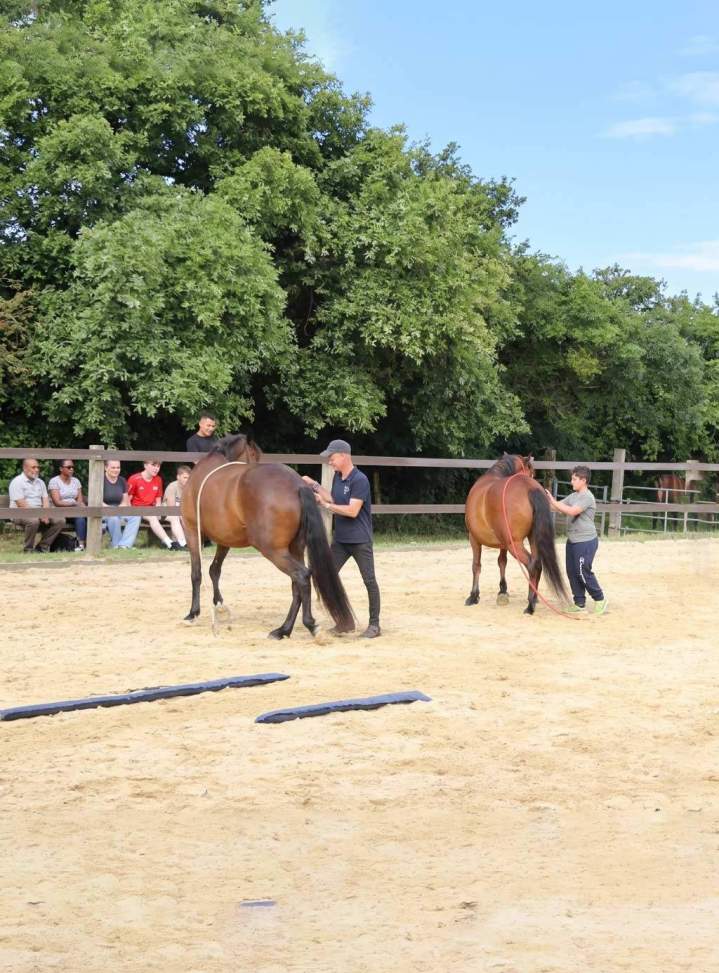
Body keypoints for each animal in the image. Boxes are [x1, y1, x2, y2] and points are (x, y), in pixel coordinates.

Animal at [180, 434, 355, 639]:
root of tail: (297, 485)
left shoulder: (191, 530)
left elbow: (196, 573)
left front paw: (193, 613)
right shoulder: (224, 539)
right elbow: (214, 570)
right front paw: (219, 605)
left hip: (273, 551)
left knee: (302, 576)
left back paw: (309, 624)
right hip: (294, 548)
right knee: (296, 584)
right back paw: (283, 630)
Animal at [464, 453, 568, 614]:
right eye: (532, 471)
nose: (533, 477)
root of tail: (530, 488)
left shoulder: (474, 538)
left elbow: (476, 566)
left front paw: (473, 596)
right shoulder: (502, 543)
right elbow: (502, 562)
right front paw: (502, 590)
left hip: (515, 545)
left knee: (532, 565)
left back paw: (530, 605)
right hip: (532, 540)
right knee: (538, 564)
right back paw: (534, 598)